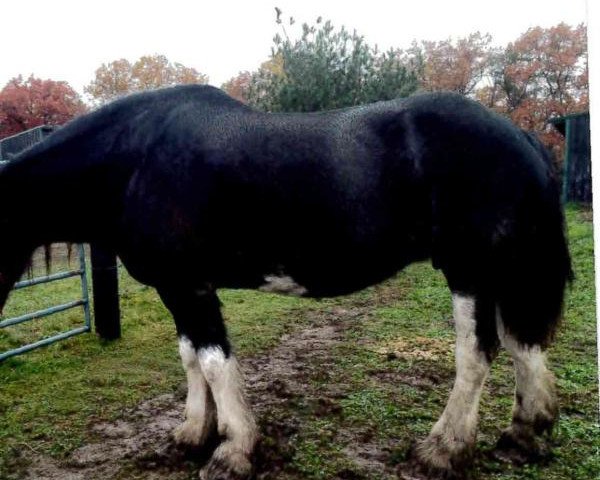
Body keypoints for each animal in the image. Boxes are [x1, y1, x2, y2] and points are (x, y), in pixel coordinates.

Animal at [1, 84, 572, 478]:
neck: (135, 158)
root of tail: (520, 135)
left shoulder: (190, 287)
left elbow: (214, 362)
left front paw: (232, 450)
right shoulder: (176, 288)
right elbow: (191, 359)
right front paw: (193, 433)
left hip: (471, 272)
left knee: (478, 354)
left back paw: (443, 450)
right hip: (504, 273)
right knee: (523, 346)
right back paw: (523, 434)